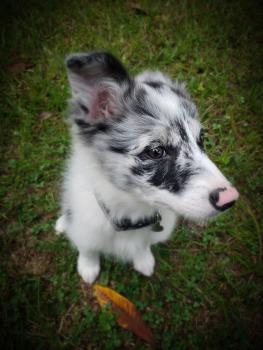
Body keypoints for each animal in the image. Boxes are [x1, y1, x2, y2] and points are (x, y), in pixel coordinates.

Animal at [56, 51, 240, 284]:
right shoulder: (85, 230)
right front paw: (88, 267)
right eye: (155, 151)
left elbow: (143, 246)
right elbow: (88, 248)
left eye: (201, 139)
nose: (229, 199)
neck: (131, 211)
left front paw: (143, 261)